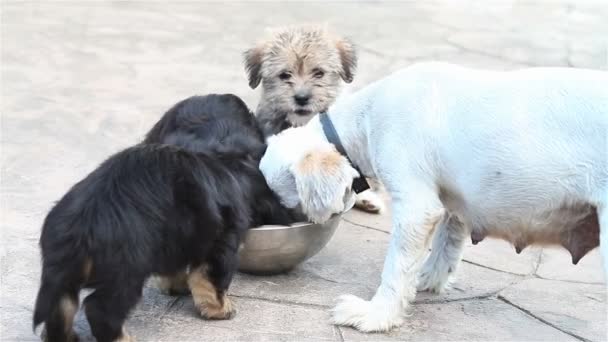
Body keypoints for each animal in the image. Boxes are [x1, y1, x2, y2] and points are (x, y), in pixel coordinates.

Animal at [33, 94, 300, 342]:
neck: (230, 163)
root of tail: (79, 228)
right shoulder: (223, 241)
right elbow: (211, 277)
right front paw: (220, 309)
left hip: (66, 275)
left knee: (61, 305)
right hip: (126, 271)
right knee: (101, 309)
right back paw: (123, 338)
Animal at [258, 62, 608, 332]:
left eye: (285, 205)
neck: (364, 119)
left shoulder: (415, 205)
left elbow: (397, 265)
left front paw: (376, 316)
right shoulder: (453, 201)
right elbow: (447, 242)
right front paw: (426, 279)